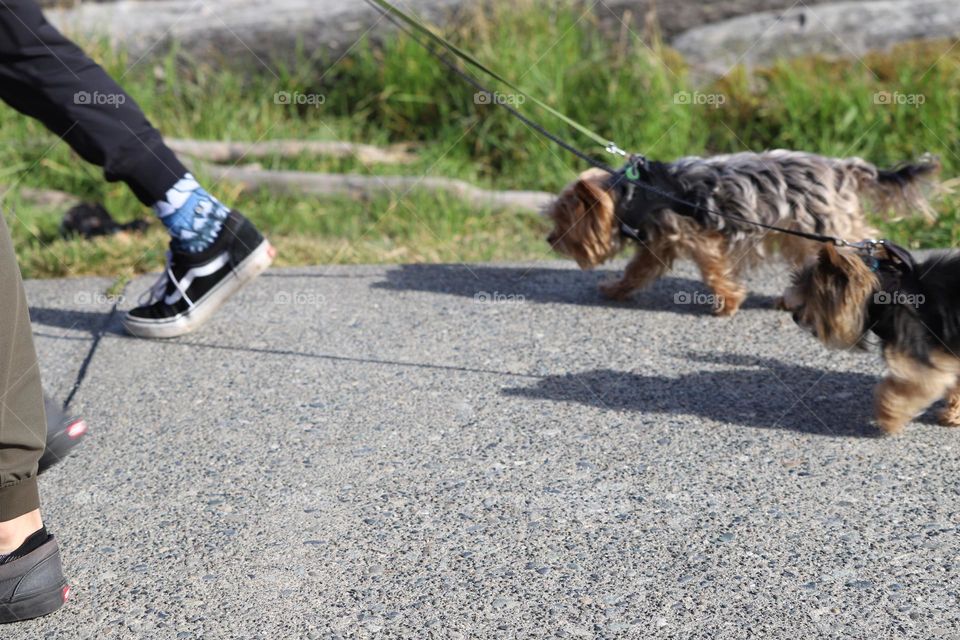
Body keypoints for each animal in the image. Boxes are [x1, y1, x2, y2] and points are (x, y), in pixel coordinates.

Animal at [548, 150, 936, 316]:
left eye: (564, 221)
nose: (549, 240)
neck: (634, 194)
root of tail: (841, 168)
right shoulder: (660, 242)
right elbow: (636, 270)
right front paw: (616, 289)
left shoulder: (697, 237)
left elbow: (713, 271)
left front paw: (727, 303)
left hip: (826, 223)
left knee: (861, 242)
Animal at [784, 242, 956, 438]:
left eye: (811, 295)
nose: (794, 317)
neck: (886, 291)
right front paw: (953, 415)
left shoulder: (918, 354)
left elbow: (902, 389)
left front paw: (887, 419)